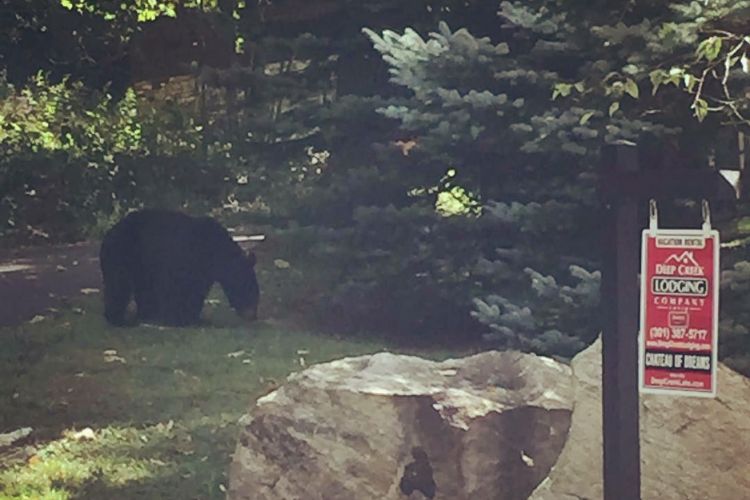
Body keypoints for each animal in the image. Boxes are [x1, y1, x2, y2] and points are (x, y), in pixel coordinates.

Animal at [100, 209, 259, 326]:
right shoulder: (181, 257)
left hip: (141, 264)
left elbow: (197, 291)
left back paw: (146, 314)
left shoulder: (204, 271)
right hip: (122, 253)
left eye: (256, 293)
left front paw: (193, 317)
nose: (252, 315)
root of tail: (108, 234)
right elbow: (173, 287)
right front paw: (177, 318)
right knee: (119, 284)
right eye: (249, 290)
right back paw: (118, 319)